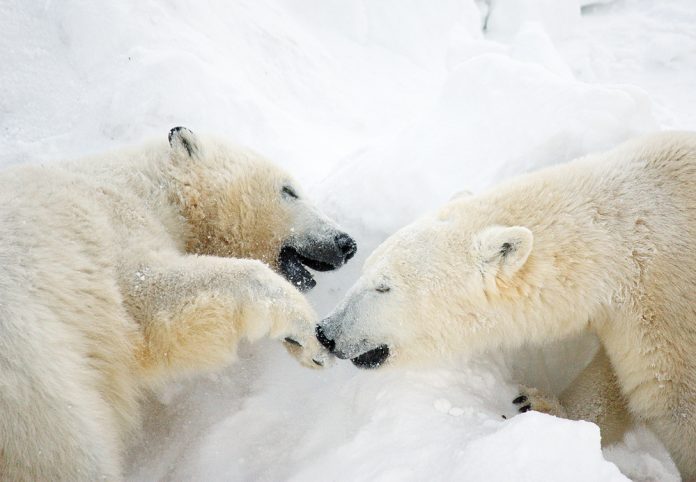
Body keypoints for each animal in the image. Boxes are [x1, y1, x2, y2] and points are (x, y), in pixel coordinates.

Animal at [0, 128, 356, 482]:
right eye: (289, 190)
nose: (346, 243)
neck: (150, 186)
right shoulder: (116, 228)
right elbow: (153, 293)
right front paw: (310, 337)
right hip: (37, 379)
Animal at [318, 131, 696, 478]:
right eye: (365, 270)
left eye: (384, 286)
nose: (326, 332)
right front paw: (540, 406)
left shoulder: (665, 308)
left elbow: (670, 400)